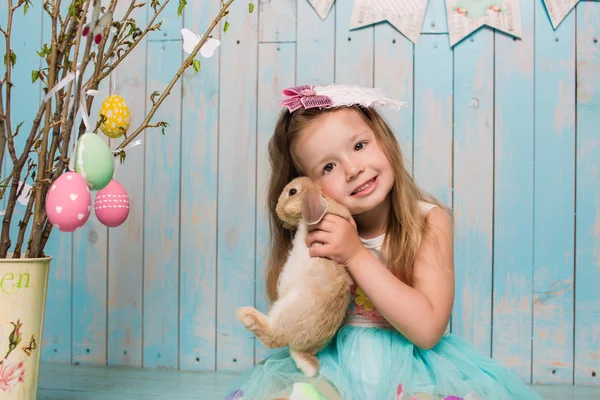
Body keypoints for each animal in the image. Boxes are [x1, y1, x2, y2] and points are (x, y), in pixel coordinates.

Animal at [236, 177, 356, 376]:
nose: (278, 209)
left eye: (292, 192)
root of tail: (303, 350)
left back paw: (245, 314)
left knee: (274, 338)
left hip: (286, 308)